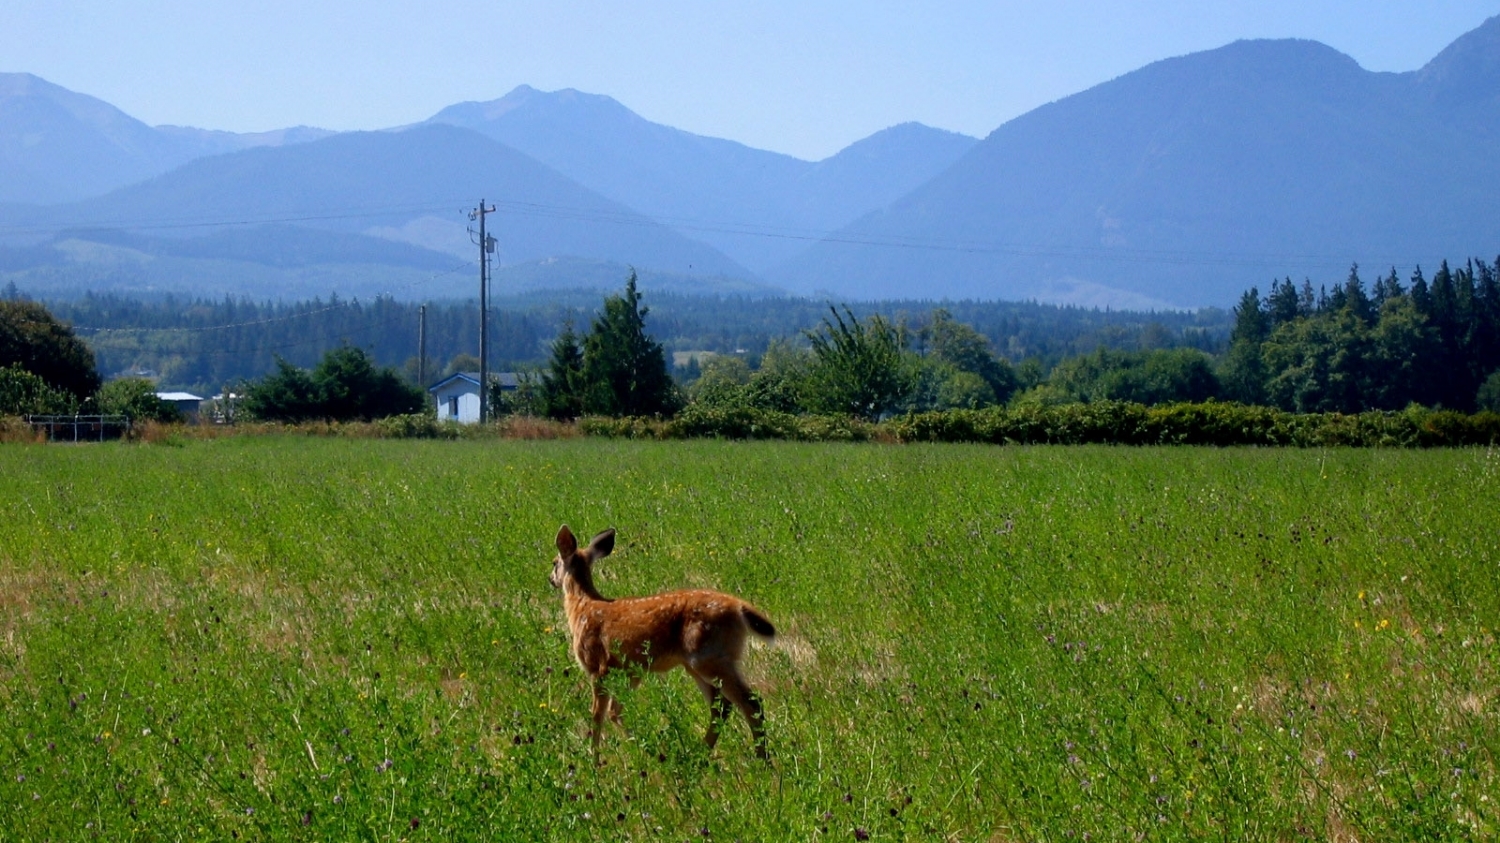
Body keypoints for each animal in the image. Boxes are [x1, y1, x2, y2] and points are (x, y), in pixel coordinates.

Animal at [549, 522, 774, 759]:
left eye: (554, 562)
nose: (550, 579)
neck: (582, 607)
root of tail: (739, 608)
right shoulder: (630, 671)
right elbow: (616, 712)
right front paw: (647, 749)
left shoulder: (598, 667)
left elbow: (597, 716)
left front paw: (595, 758)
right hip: (699, 663)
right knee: (722, 706)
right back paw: (700, 755)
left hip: (710, 656)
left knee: (750, 703)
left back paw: (761, 760)